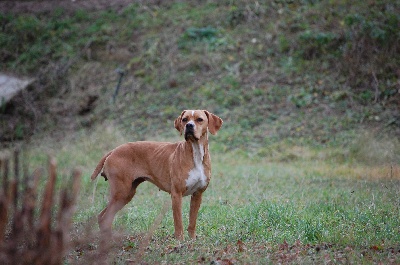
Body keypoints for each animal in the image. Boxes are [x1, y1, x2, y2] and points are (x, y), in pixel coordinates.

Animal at [90, 109, 222, 239]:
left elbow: (192, 221)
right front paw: (180, 241)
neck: (195, 152)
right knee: (105, 217)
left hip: (126, 194)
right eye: (185, 119)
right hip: (121, 192)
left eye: (199, 119)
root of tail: (113, 150)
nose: (189, 125)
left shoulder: (197, 194)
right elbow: (178, 222)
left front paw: (192, 240)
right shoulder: (176, 195)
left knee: (102, 217)